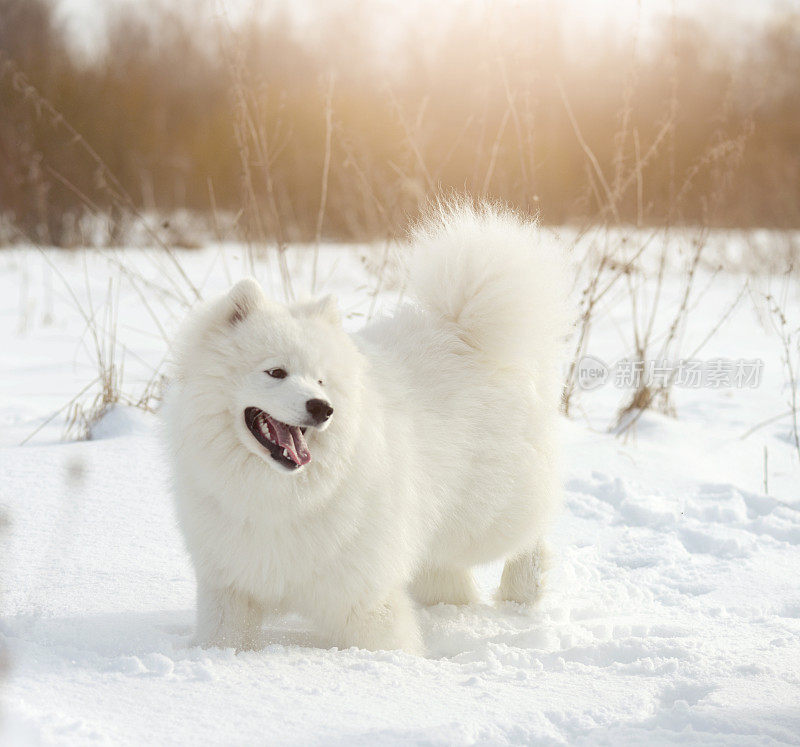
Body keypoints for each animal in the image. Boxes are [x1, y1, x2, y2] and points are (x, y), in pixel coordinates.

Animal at [164, 202, 568, 652]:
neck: (278, 494)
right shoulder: (231, 589)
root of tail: (463, 330)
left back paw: (522, 590)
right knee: (446, 573)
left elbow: (386, 642)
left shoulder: (362, 596)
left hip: (484, 515)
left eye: (321, 380)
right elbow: (224, 638)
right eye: (276, 372)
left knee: (529, 535)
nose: (323, 408)